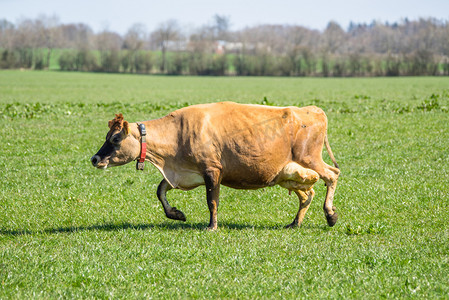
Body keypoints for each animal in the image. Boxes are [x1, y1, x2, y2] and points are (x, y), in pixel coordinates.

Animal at [91, 102, 340, 231]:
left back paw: (330, 215)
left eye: (115, 139)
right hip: (288, 174)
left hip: (310, 158)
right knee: (307, 194)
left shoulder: (212, 170)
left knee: (332, 175)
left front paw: (212, 226)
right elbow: (160, 190)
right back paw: (295, 223)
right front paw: (176, 213)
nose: (95, 159)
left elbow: (212, 201)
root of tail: (313, 109)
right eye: (107, 136)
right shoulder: (185, 174)